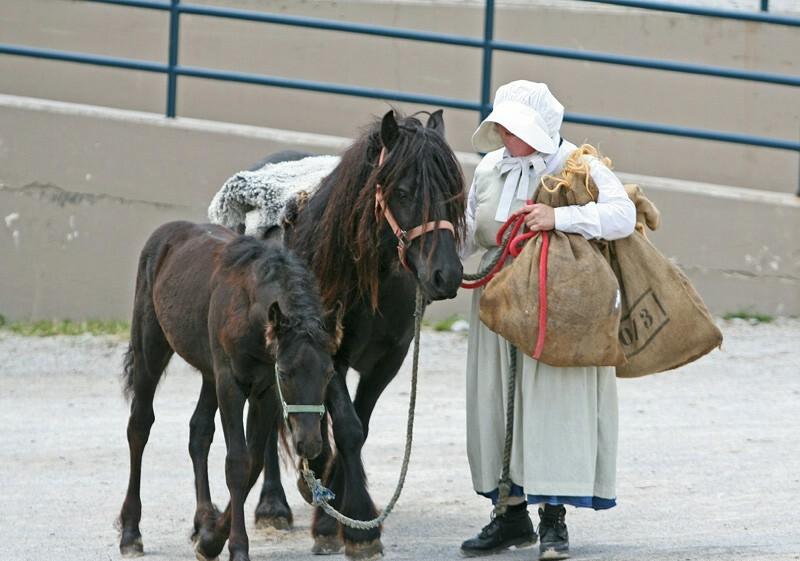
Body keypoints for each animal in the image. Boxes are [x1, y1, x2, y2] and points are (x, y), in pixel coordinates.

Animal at [117, 221, 340, 561]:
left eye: (329, 373)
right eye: (286, 373)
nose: (311, 444)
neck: (249, 310)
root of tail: (165, 233)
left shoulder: (265, 393)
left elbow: (254, 463)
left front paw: (210, 540)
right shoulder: (231, 384)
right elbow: (237, 463)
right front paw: (236, 548)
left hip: (208, 372)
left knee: (199, 431)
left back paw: (202, 521)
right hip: (150, 351)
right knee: (139, 426)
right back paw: (131, 532)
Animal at [250, 109, 466, 559]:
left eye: (453, 192)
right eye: (403, 191)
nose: (446, 274)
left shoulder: (389, 359)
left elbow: (359, 429)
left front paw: (337, 512)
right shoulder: (329, 355)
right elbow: (347, 427)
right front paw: (358, 527)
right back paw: (272, 505)